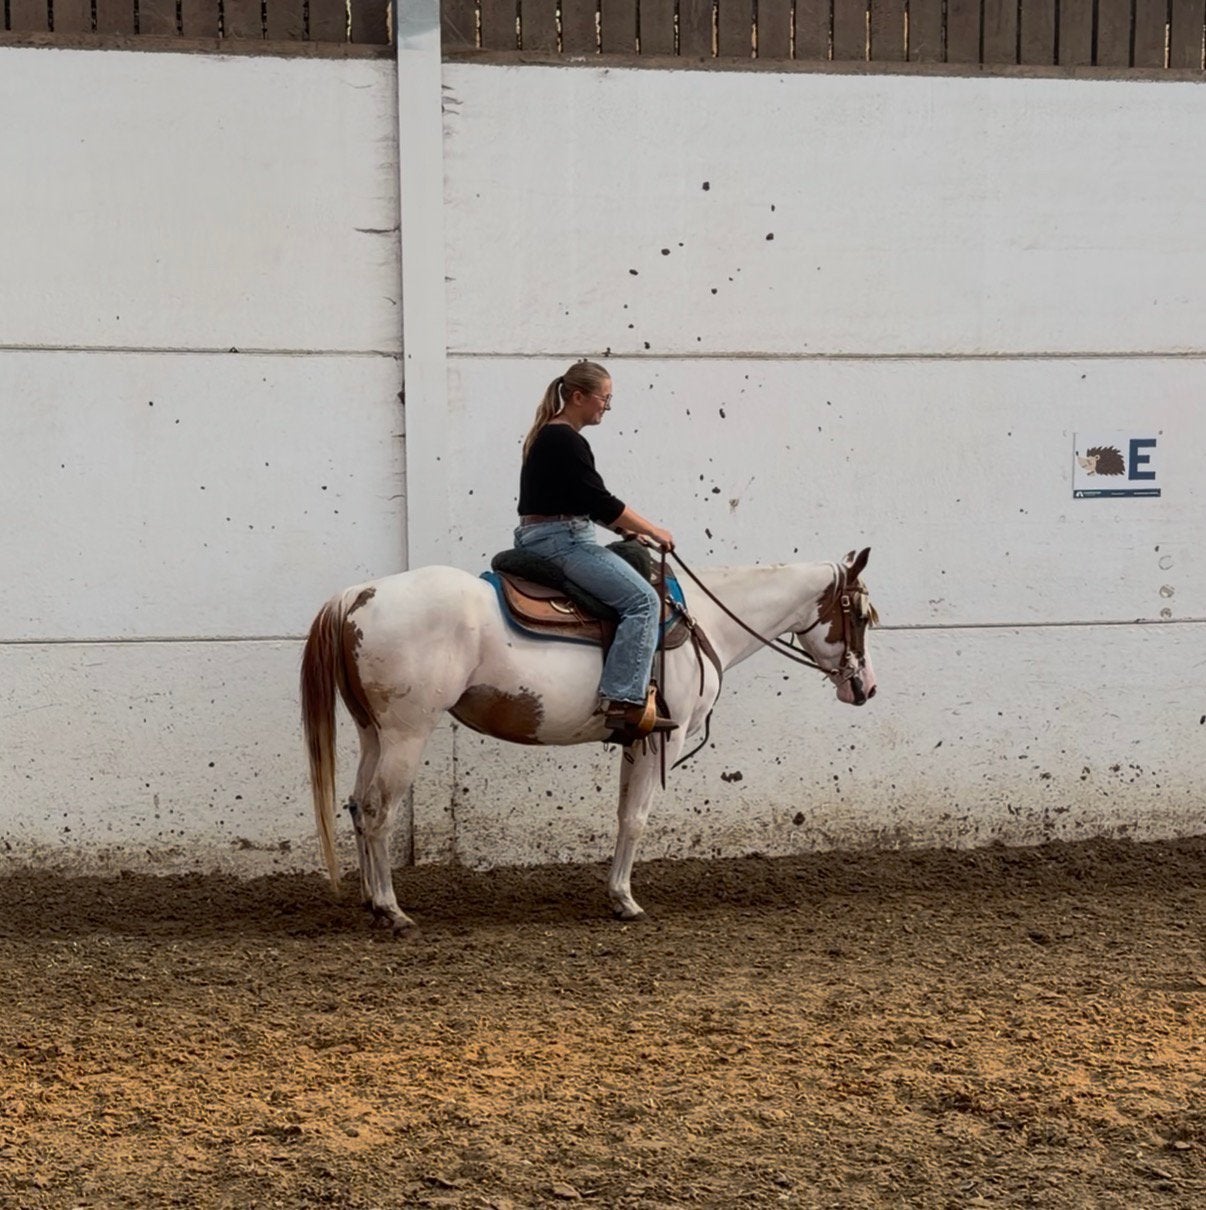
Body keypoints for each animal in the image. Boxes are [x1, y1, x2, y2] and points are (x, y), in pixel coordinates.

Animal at [300, 546, 877, 932]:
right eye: (861, 615)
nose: (865, 688)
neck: (707, 620)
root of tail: (359, 596)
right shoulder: (661, 742)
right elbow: (637, 819)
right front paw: (625, 900)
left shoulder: (637, 739)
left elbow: (623, 816)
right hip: (406, 734)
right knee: (379, 811)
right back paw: (392, 910)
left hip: (373, 733)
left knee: (357, 805)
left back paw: (371, 901)